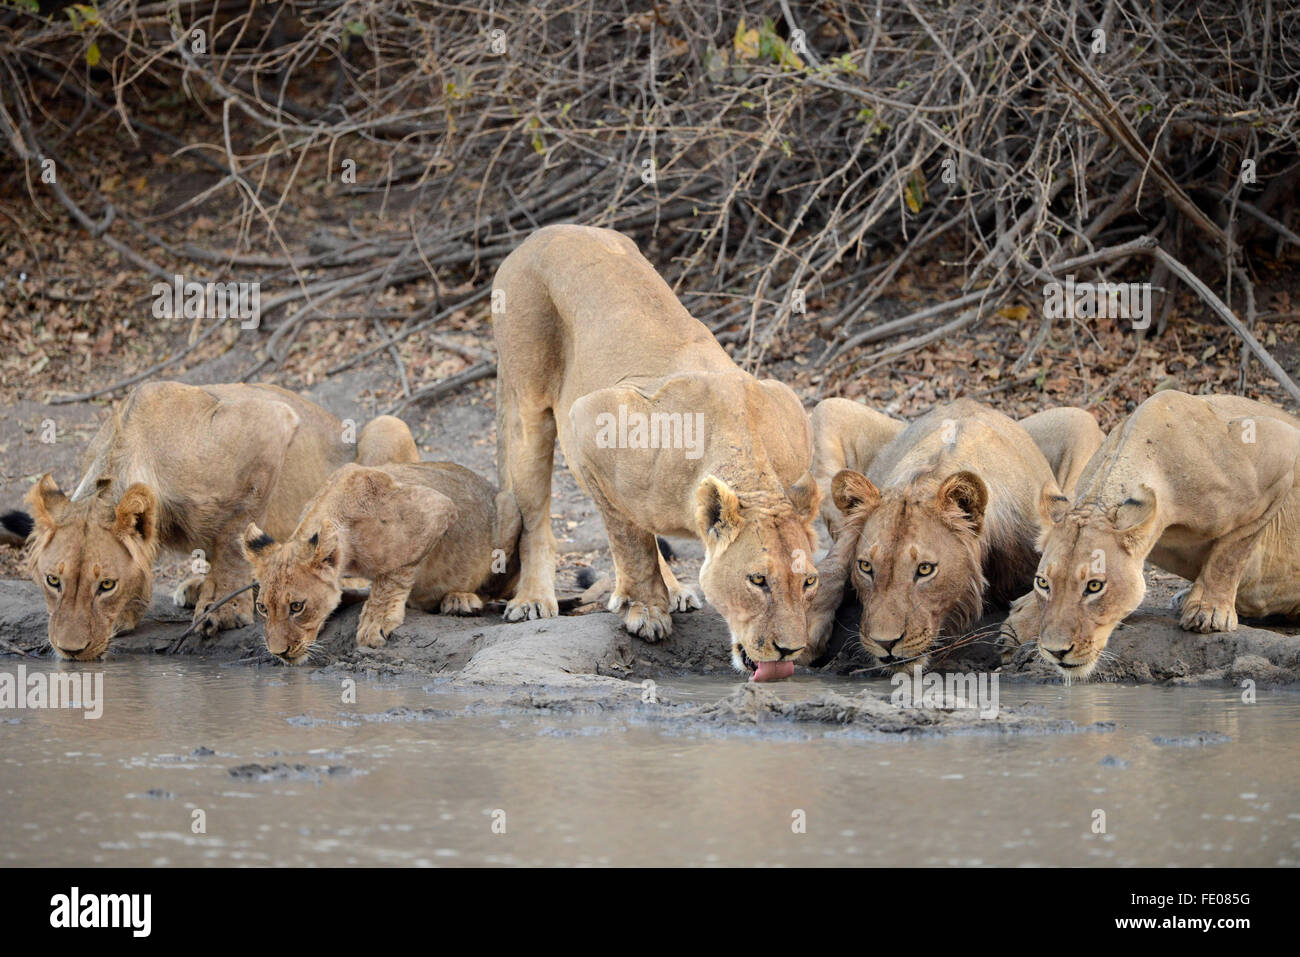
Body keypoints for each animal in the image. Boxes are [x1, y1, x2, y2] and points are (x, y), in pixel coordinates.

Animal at [21, 382, 416, 657]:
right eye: (53, 581)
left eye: (106, 585)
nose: (70, 651)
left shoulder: (270, 423)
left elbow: (234, 537)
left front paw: (223, 610)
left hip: (388, 425)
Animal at [236, 462, 520, 657]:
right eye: (262, 608)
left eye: (297, 606)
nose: (278, 653)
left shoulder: (436, 508)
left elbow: (393, 573)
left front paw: (376, 621)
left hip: (510, 511)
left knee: (491, 591)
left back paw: (460, 600)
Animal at [488, 226, 821, 681]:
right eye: (757, 581)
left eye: (809, 582)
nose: (790, 649)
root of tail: (543, 233)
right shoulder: (589, 420)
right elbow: (630, 540)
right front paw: (646, 611)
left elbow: (636, 533)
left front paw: (652, 599)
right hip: (529, 399)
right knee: (538, 513)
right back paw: (534, 599)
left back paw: (675, 590)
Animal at [806, 400, 1102, 670]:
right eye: (866, 567)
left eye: (925, 569)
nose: (885, 643)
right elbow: (837, 559)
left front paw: (1018, 630)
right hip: (828, 409)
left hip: (1081, 420)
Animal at [1003, 390, 1300, 681]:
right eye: (1043, 583)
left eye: (1095, 586)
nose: (1056, 651)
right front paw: (1020, 623)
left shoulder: (1281, 449)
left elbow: (1232, 552)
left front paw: (1209, 611)